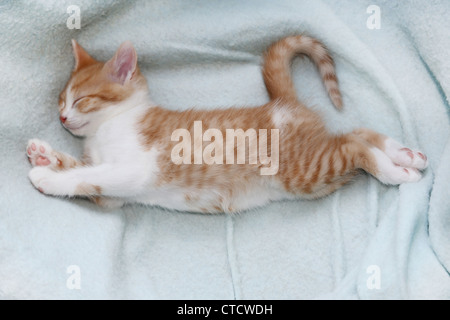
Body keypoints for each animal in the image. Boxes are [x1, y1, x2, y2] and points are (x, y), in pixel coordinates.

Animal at [25, 35, 428, 212]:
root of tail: (282, 103)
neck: (110, 125)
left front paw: (47, 176)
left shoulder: (135, 168)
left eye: (81, 100)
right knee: (355, 133)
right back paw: (405, 154)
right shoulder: (113, 197)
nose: (62, 117)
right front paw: (46, 154)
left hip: (304, 170)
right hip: (316, 176)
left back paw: (397, 171)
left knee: (352, 145)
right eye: (60, 100)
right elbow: (87, 172)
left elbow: (88, 175)